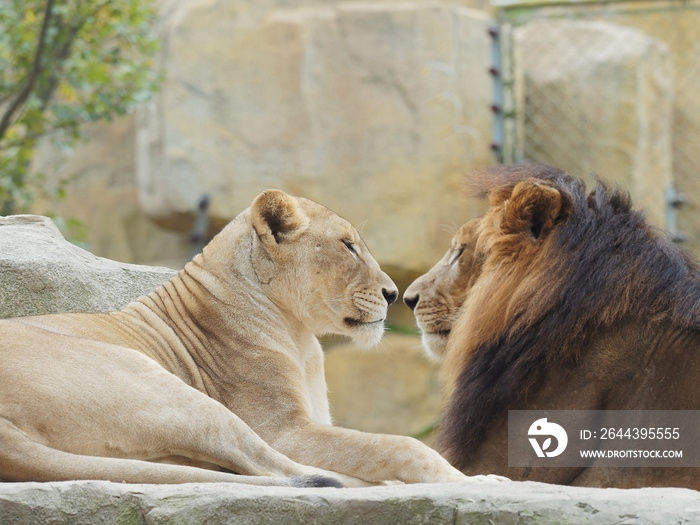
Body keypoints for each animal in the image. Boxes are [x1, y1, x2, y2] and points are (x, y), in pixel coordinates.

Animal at [4, 188, 470, 488]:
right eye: (348, 245)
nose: (394, 294)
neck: (301, 338)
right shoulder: (284, 429)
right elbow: (397, 445)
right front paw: (461, 479)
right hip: (169, 391)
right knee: (275, 468)